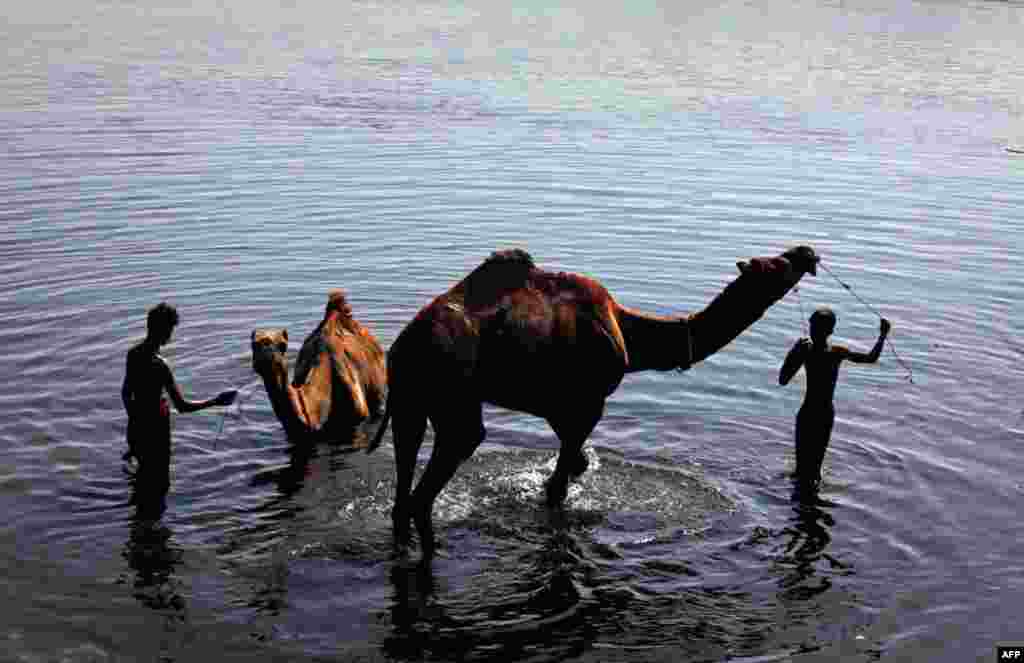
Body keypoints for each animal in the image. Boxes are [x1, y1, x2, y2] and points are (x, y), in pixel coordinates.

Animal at [366, 245, 815, 557]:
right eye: (774, 265)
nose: (806, 253)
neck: (630, 333)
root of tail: (399, 350)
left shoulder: (558, 407)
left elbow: (573, 466)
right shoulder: (589, 402)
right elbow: (558, 488)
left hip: (410, 404)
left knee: (404, 486)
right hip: (454, 401)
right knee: (430, 485)